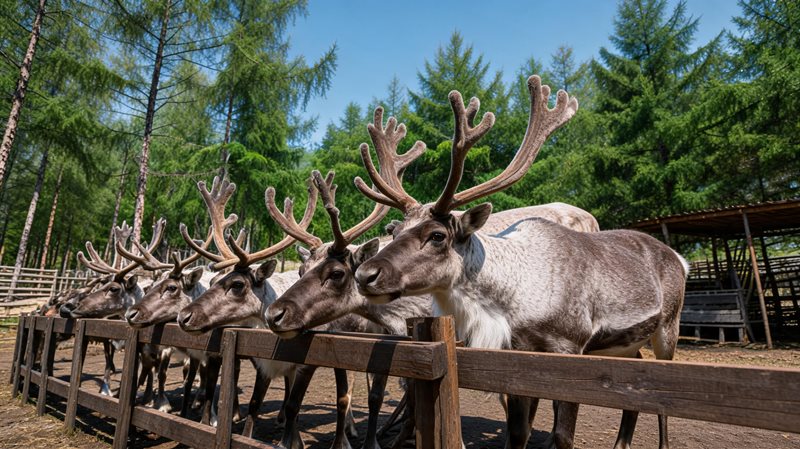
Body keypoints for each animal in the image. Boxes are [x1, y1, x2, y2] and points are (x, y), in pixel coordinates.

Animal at [353, 75, 688, 449]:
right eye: (395, 231)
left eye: (438, 235)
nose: (365, 273)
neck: (508, 301)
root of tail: (678, 257)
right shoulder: (516, 354)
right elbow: (517, 432)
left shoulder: (570, 348)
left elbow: (562, 436)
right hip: (623, 345)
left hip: (668, 328)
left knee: (663, 399)